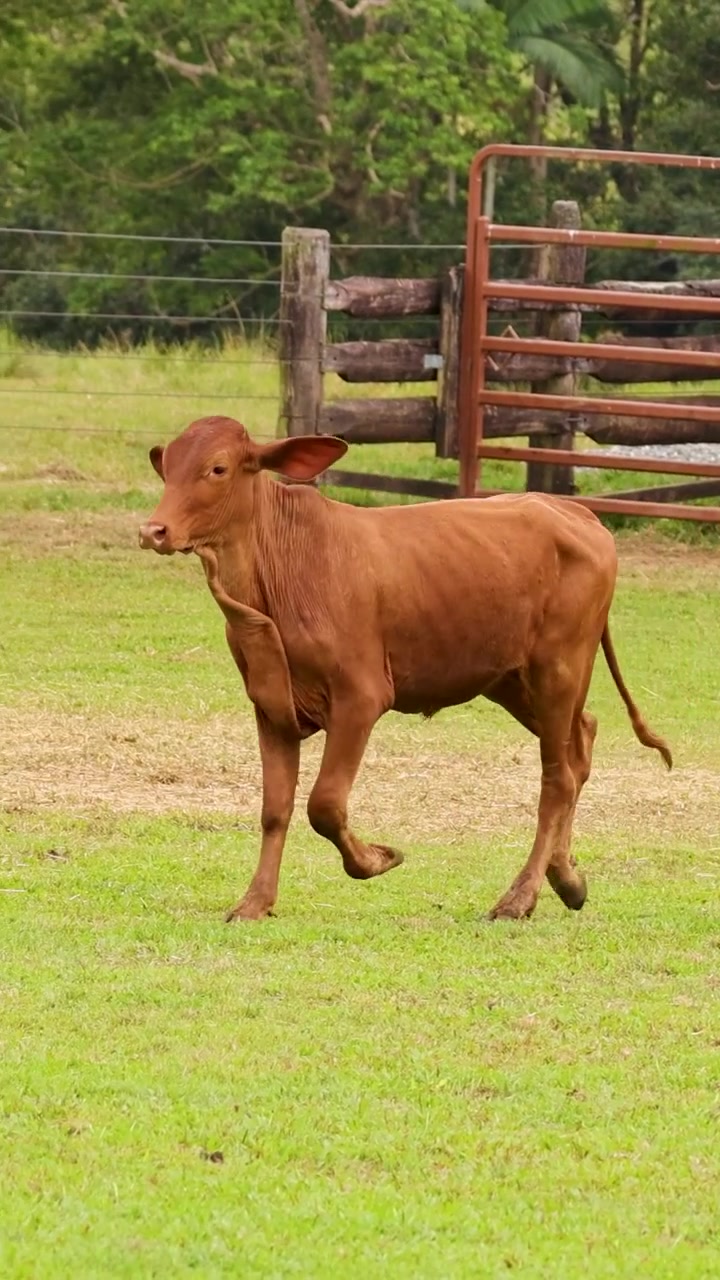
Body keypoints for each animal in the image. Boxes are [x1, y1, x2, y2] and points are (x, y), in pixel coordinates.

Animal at [139, 415, 671, 923]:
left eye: (218, 468)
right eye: (167, 466)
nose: (153, 531)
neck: (279, 574)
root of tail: (575, 512)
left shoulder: (361, 696)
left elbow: (324, 804)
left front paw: (376, 859)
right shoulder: (271, 708)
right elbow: (276, 809)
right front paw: (256, 901)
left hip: (559, 668)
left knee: (557, 778)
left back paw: (519, 897)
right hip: (511, 680)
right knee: (580, 744)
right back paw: (566, 878)